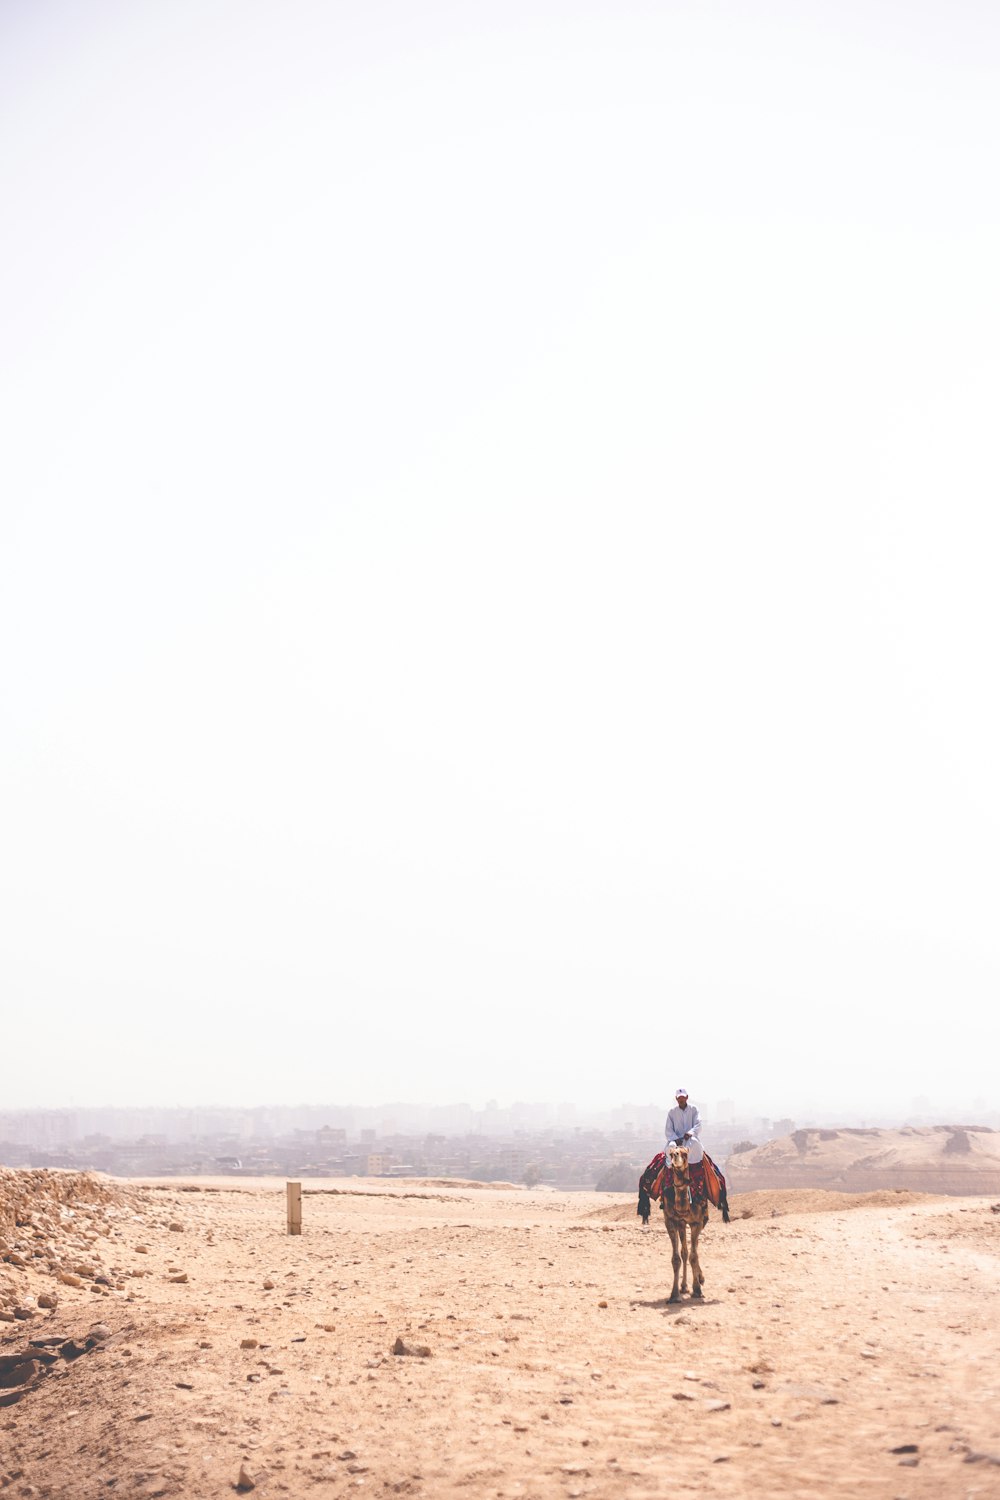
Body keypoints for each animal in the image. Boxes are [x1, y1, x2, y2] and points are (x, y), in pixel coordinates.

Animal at [659, 1146, 707, 1302]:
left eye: (685, 1153)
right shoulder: (671, 1221)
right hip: (682, 1224)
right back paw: (684, 1286)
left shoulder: (697, 1222)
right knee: (685, 1252)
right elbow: (676, 1258)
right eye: (670, 1153)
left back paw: (699, 1279)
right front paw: (674, 1294)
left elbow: (694, 1256)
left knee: (694, 1249)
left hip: (701, 1221)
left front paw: (697, 1289)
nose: (675, 1156)